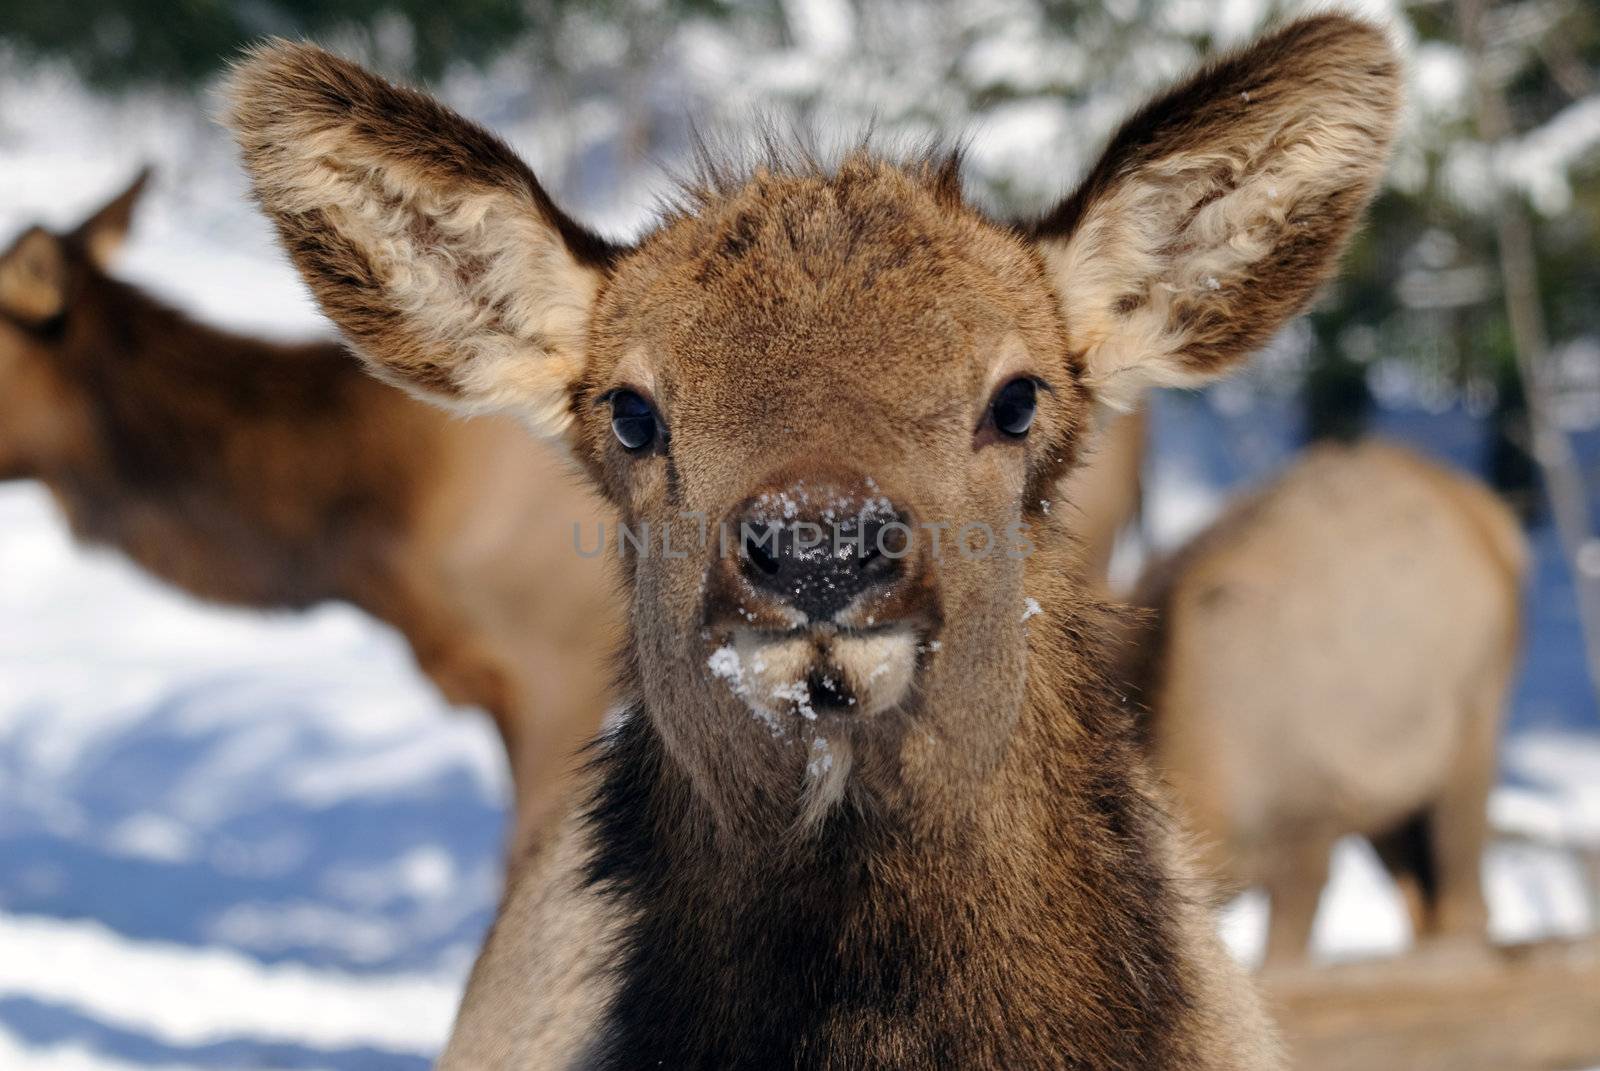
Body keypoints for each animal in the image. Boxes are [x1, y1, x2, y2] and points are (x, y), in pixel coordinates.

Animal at [1126, 438, 1523, 966]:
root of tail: (1493, 518)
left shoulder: (1307, 831)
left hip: (1473, 721)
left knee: (1464, 897)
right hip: (1387, 791)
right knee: (1422, 906)